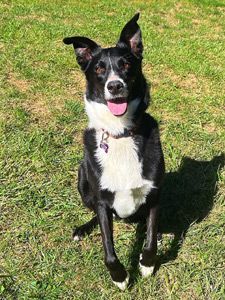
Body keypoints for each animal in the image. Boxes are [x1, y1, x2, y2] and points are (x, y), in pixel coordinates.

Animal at [63, 12, 165, 290]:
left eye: (126, 64)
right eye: (99, 68)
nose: (115, 86)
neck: (120, 134)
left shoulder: (154, 194)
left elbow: (150, 235)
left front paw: (147, 263)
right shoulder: (101, 200)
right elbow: (108, 247)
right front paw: (119, 276)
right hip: (82, 179)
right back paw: (82, 229)